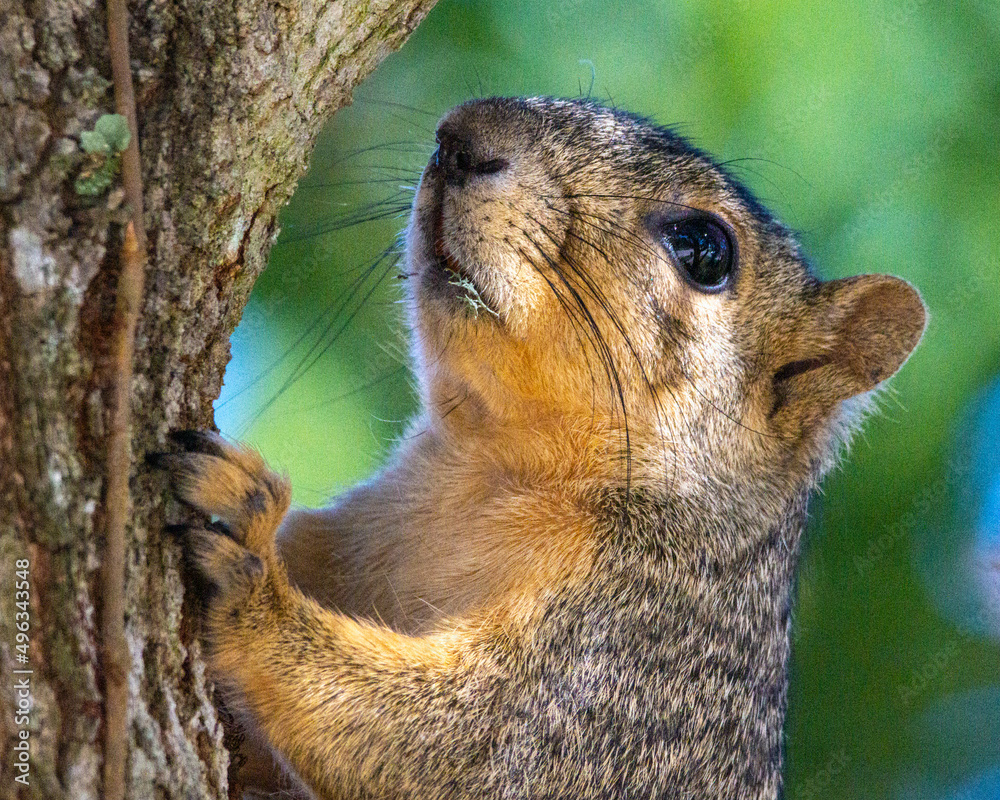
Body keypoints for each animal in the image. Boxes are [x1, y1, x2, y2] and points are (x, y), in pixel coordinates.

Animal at [158, 97, 928, 796]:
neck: (485, 470)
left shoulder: (631, 665)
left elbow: (470, 747)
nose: (459, 138)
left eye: (704, 249)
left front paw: (252, 573)